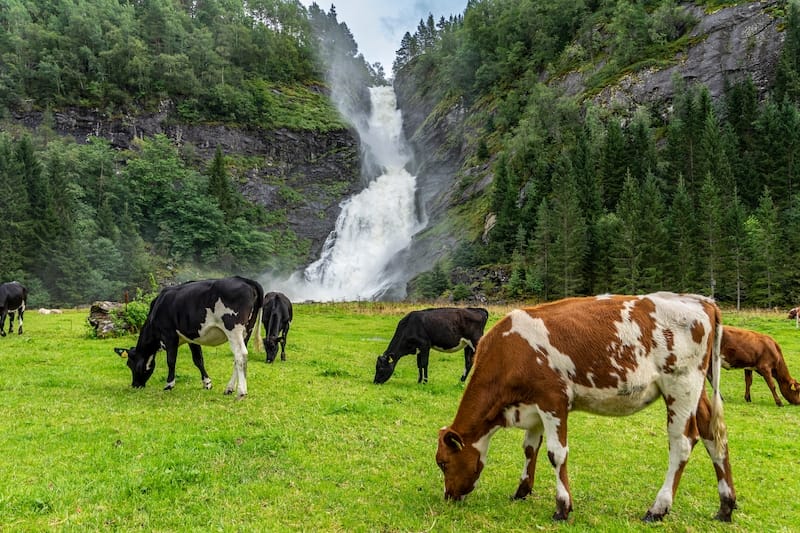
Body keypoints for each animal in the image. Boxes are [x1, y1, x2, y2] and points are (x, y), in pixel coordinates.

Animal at [114, 276, 264, 396]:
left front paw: (169, 385)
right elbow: (198, 360)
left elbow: (171, 360)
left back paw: (241, 391)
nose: (135, 385)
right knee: (237, 358)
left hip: (233, 329)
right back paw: (229, 388)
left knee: (241, 355)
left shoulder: (169, 335)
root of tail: (244, 280)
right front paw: (207, 383)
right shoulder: (192, 337)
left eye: (130, 364)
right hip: (247, 330)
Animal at [438, 290, 736, 520]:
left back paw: (658, 508)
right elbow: (529, 448)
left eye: (443, 463)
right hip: (697, 390)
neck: (510, 352)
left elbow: (556, 454)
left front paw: (562, 507)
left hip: (681, 384)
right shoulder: (533, 406)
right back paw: (726, 506)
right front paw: (522, 490)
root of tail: (701, 301)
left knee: (682, 443)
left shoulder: (553, 401)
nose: (449, 496)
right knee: (714, 437)